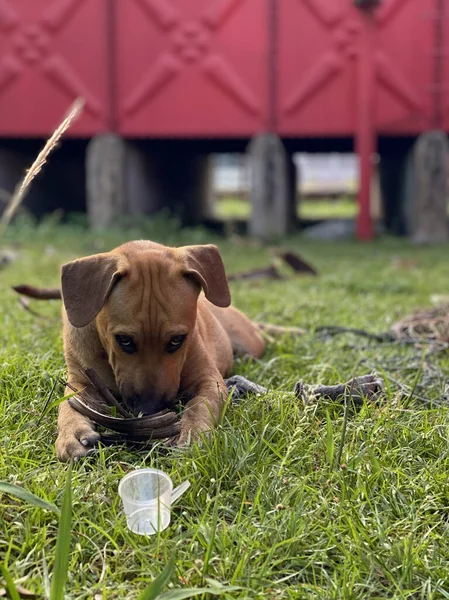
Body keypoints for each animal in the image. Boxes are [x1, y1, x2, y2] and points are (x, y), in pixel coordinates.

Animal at [57, 241, 264, 462]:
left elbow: (200, 405)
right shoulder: (81, 380)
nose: (149, 412)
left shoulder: (209, 379)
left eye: (176, 340)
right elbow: (68, 403)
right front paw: (72, 432)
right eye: (124, 340)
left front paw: (192, 433)